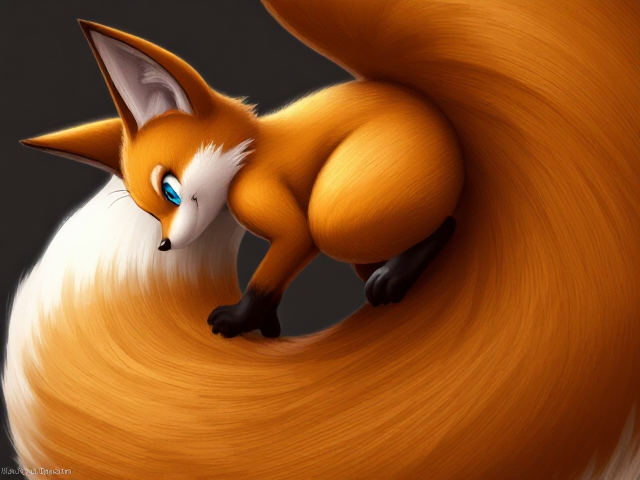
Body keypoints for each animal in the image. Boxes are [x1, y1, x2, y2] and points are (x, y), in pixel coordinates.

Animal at [4, 0, 640, 479]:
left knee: (447, 224)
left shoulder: (290, 222)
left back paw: (400, 275)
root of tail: (435, 119)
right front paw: (268, 330)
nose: (163, 248)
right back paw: (390, 277)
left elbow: (273, 268)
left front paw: (240, 322)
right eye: (148, 207)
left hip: (341, 209)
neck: (253, 148)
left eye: (171, 191)